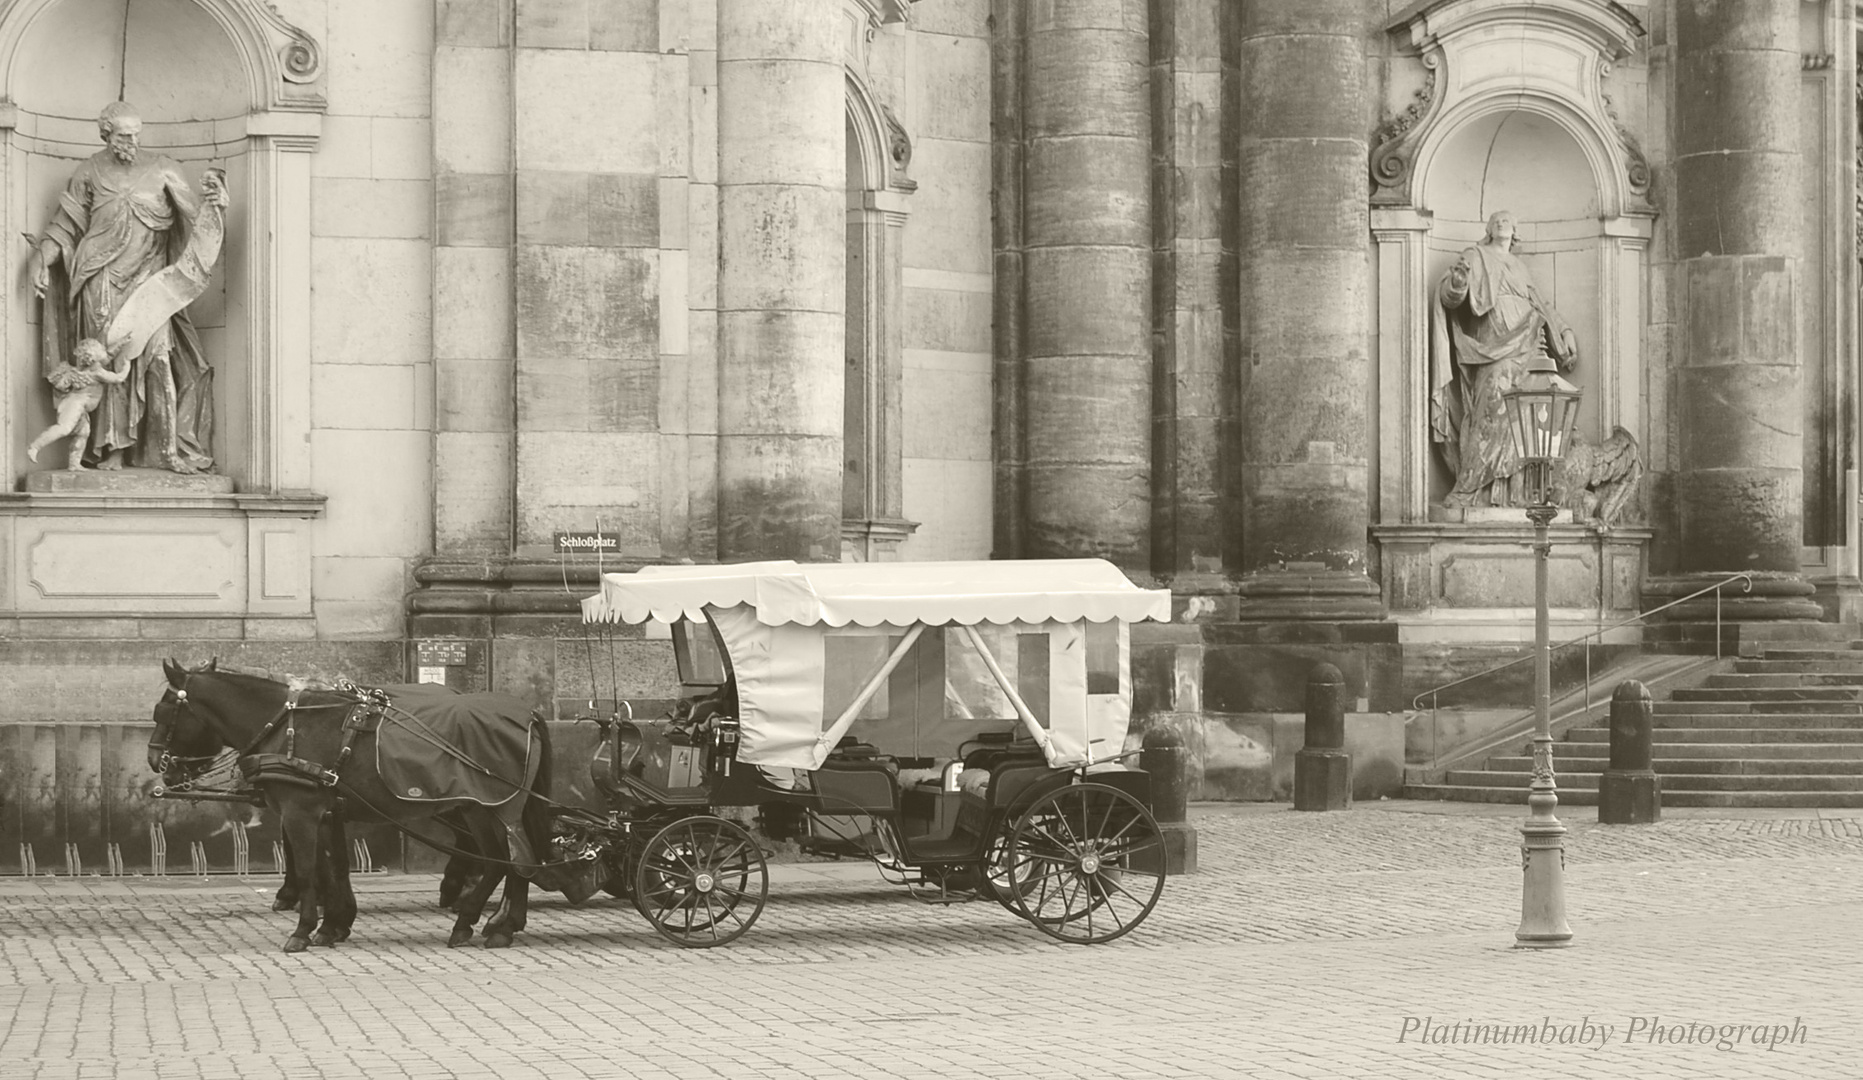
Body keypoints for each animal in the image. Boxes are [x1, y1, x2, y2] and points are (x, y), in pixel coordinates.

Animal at [149, 659, 555, 953]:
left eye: (162, 713)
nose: (157, 763)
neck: (289, 726)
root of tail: (529, 714)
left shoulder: (301, 811)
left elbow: (309, 869)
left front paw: (303, 929)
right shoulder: (327, 812)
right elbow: (333, 867)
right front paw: (333, 924)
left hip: (489, 806)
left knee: (509, 862)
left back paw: (479, 921)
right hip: (482, 808)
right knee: (510, 862)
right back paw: (493, 922)